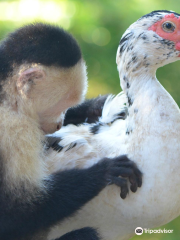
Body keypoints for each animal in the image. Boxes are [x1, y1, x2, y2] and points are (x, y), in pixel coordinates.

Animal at [0, 23, 142, 240]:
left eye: (66, 107)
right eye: (59, 106)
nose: (59, 123)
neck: (8, 98)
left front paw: (96, 108)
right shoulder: (14, 129)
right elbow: (14, 216)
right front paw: (104, 172)